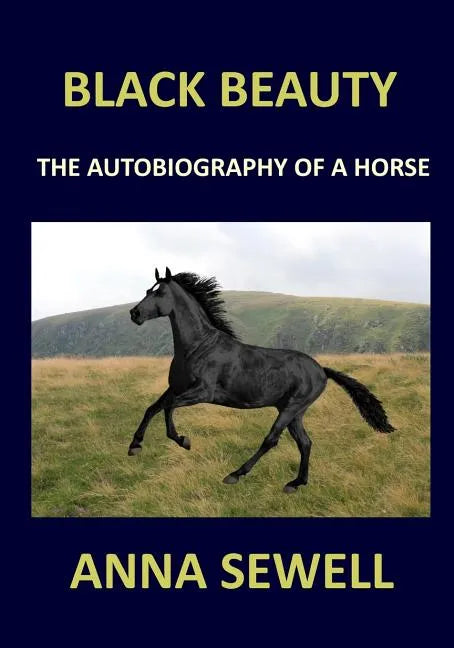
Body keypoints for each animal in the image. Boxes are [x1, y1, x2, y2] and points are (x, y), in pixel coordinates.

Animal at [128, 267, 394, 493]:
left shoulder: (202, 392)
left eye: (159, 292)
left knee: (272, 440)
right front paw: (135, 446)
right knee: (305, 442)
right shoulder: (175, 387)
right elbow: (152, 408)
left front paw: (184, 441)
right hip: (294, 412)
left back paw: (235, 474)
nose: (134, 313)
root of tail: (321, 370)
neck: (198, 346)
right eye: (147, 290)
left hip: (291, 408)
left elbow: (168, 408)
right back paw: (296, 483)